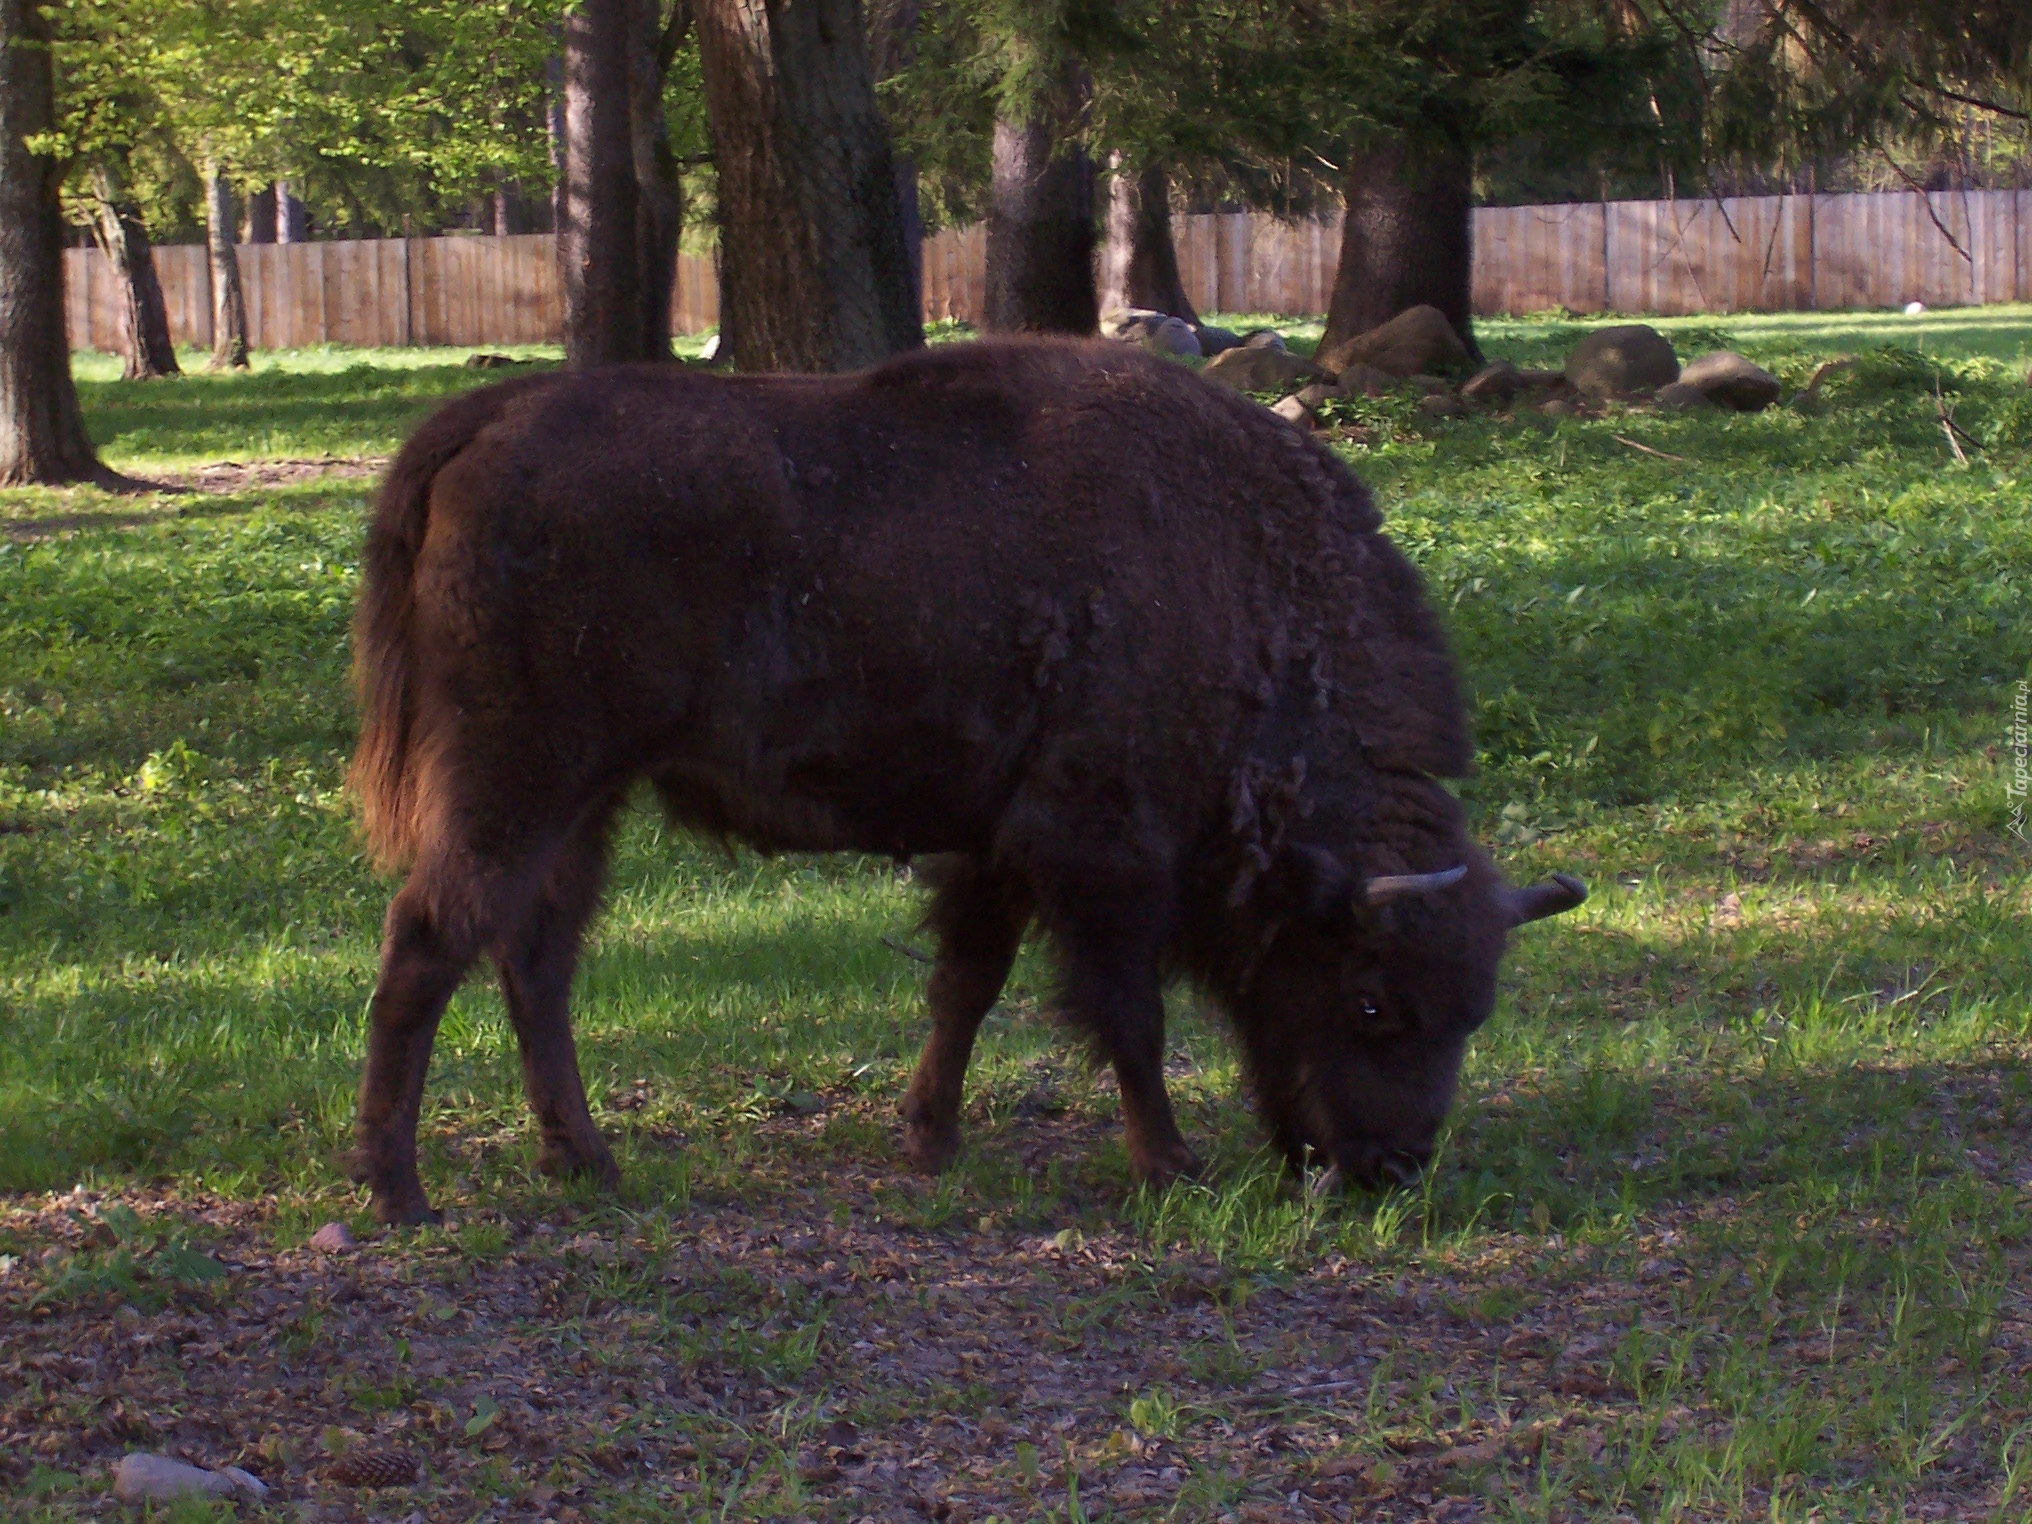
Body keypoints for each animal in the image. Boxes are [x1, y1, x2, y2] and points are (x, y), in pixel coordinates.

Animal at [345, 337, 1584, 1227]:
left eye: (1477, 1008)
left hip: (588, 798)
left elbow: (965, 986)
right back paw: (400, 1193)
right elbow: (1126, 1017)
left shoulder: (994, 849)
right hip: (520, 780)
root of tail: (482, 422)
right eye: (1371, 997)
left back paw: (586, 1161)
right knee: (429, 939)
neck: (1241, 599)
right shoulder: (1098, 852)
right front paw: (1170, 1165)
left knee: (534, 959)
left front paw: (929, 1139)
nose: (1392, 1168)